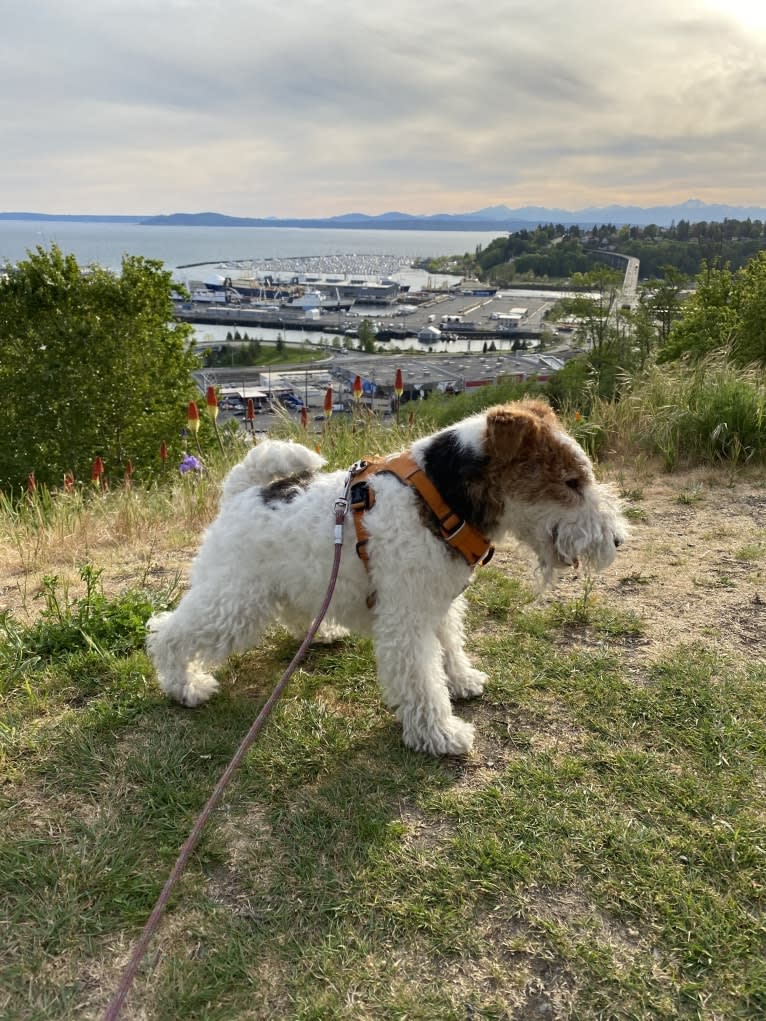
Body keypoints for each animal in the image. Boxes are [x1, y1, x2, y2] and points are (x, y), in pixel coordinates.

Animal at [147, 402, 625, 755]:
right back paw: (185, 686)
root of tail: (240, 493)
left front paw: (462, 680)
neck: (440, 499)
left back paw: (322, 633)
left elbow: (450, 646)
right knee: (167, 632)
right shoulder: (407, 617)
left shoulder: (439, 601)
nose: (618, 540)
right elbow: (423, 681)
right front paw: (442, 734)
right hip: (234, 602)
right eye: (571, 481)